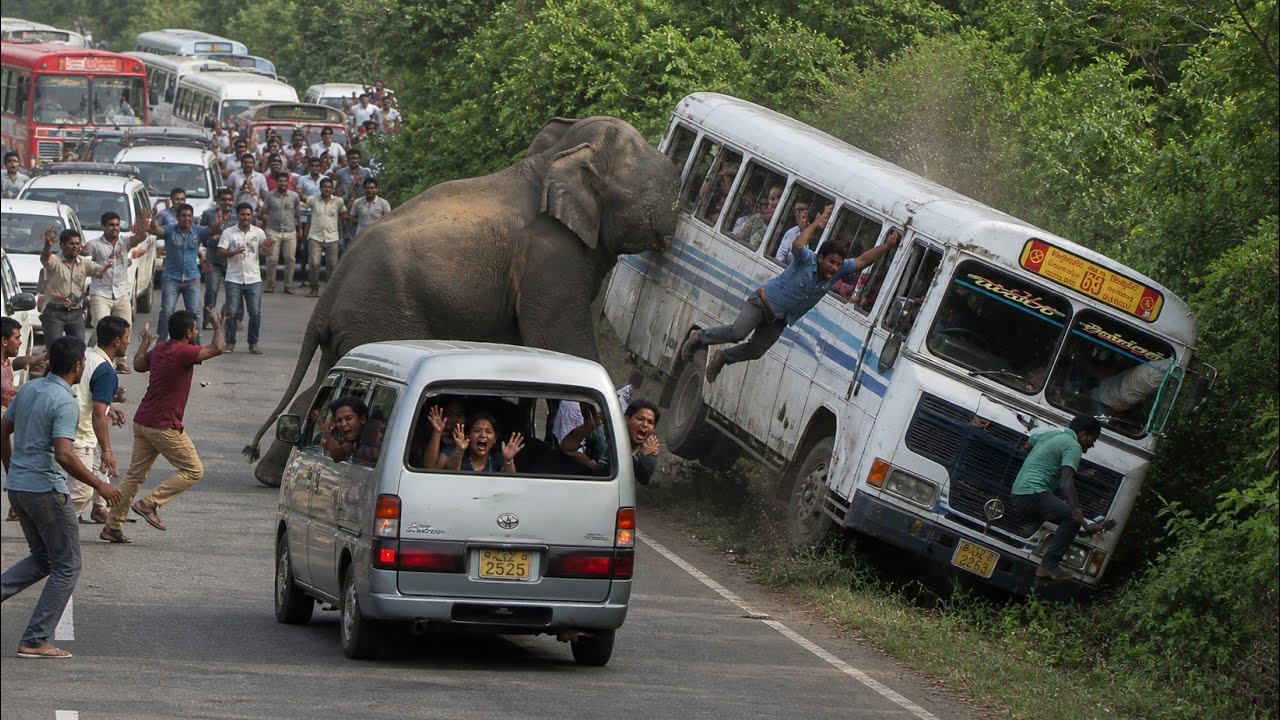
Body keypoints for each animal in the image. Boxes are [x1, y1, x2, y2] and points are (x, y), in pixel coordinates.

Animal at [244, 115, 681, 486]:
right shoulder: (551, 258)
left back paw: (272, 474)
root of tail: (331, 289)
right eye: (657, 192)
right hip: (384, 313)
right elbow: (563, 344)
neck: (556, 156)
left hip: (357, 322)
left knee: (327, 380)